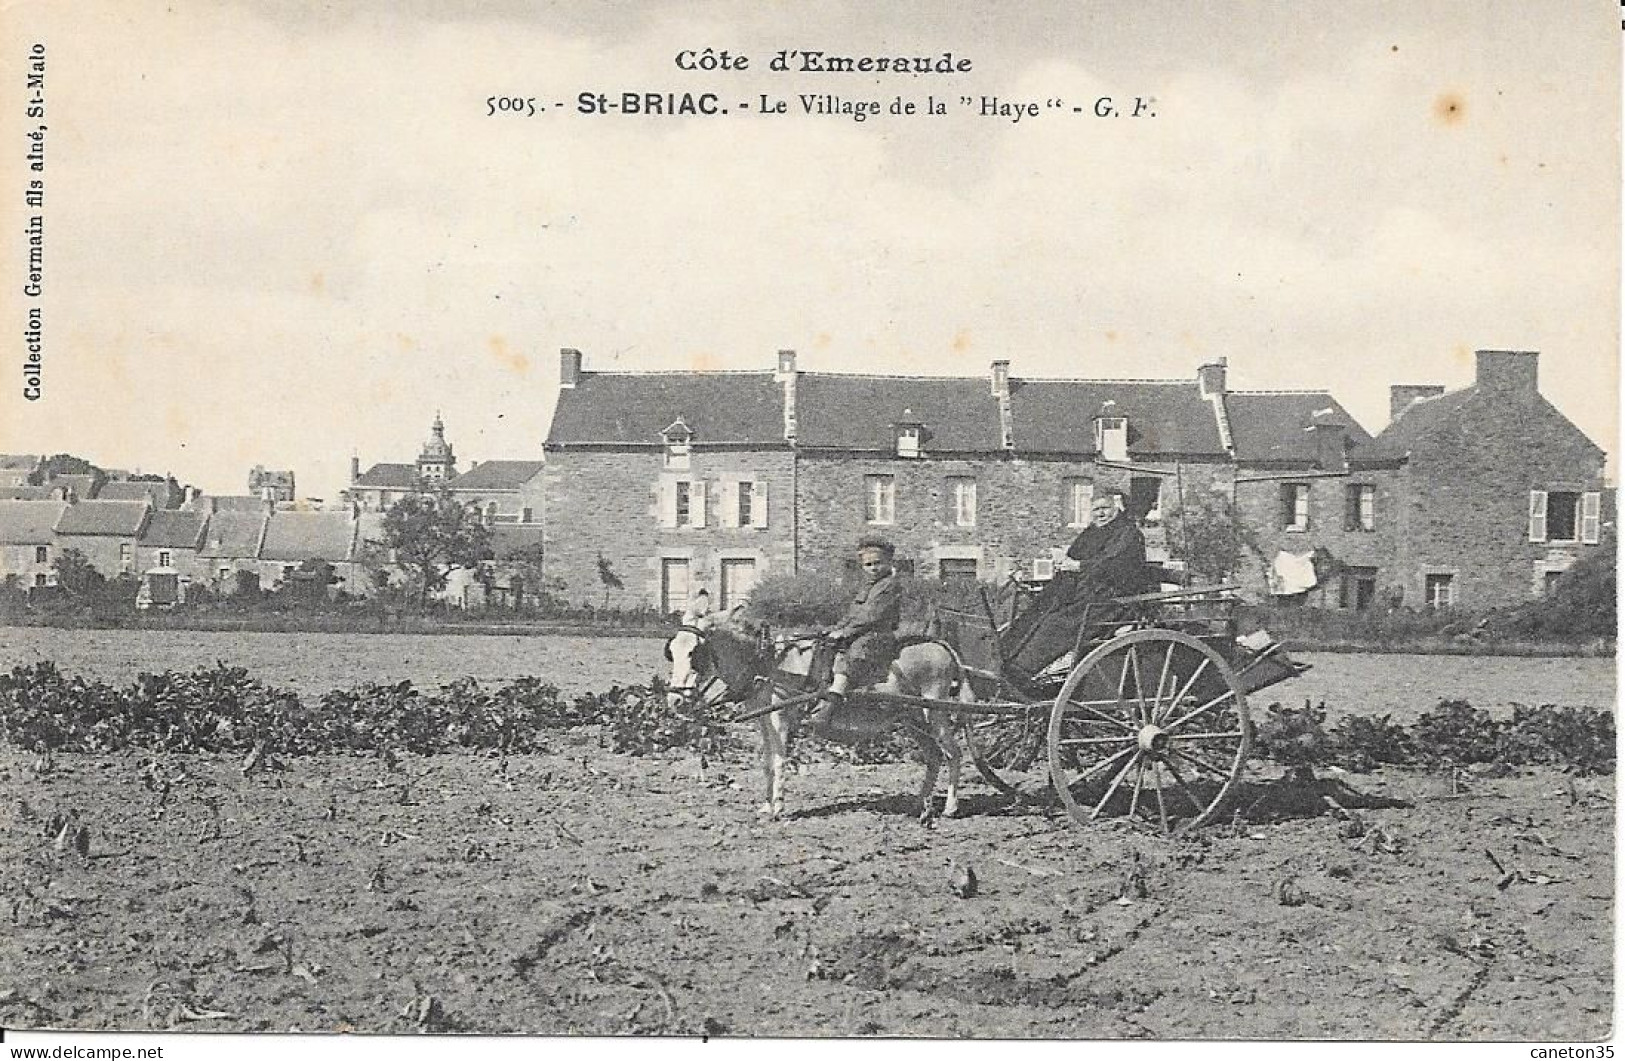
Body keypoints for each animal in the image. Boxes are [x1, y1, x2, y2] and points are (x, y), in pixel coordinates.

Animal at [666, 607, 968, 822]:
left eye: (694, 652)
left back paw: (951, 807)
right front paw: (766, 805)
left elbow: (779, 761)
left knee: (953, 753)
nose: (675, 700)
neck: (768, 662)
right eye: (671, 651)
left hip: (936, 712)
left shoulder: (779, 718)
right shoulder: (764, 720)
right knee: (934, 756)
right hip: (913, 719)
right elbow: (767, 762)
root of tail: (939, 645)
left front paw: (778, 808)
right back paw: (920, 804)